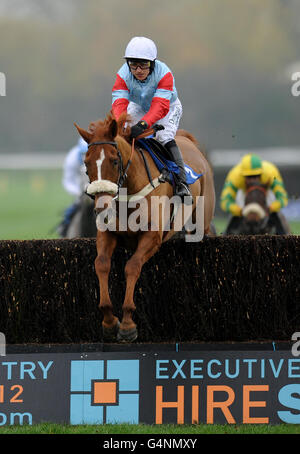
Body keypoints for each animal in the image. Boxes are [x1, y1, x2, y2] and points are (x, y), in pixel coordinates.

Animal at [75, 112, 216, 340]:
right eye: (86, 163)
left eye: (115, 161)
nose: (102, 206)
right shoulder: (107, 234)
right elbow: (101, 264)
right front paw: (109, 320)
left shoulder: (152, 237)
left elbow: (132, 266)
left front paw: (127, 324)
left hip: (201, 222)